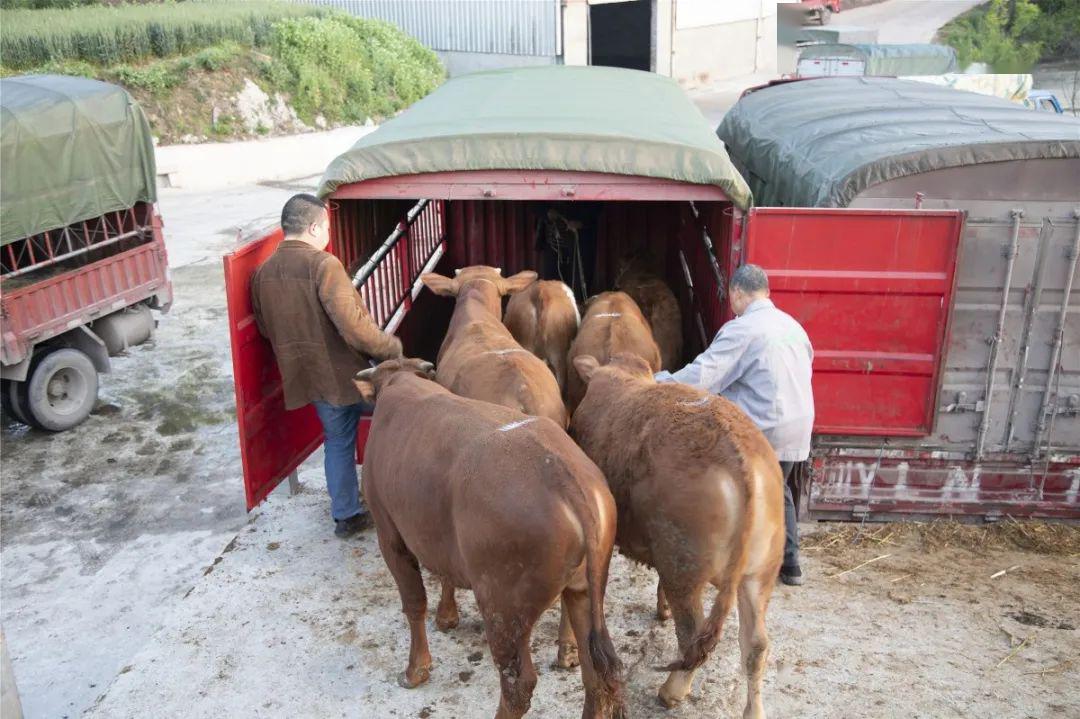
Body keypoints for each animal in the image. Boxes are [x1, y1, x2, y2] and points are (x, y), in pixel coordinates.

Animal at [352, 356, 626, 716]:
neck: (402, 382)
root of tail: (563, 475)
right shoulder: (439, 540)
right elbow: (445, 576)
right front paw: (447, 616)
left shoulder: (391, 536)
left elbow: (413, 602)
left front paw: (416, 670)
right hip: (583, 591)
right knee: (594, 674)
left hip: (503, 609)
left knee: (518, 684)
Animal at [570, 354, 781, 716]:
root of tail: (738, 454)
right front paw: (661, 608)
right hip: (758, 574)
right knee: (756, 646)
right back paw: (754, 710)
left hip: (683, 567)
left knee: (692, 634)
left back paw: (672, 690)